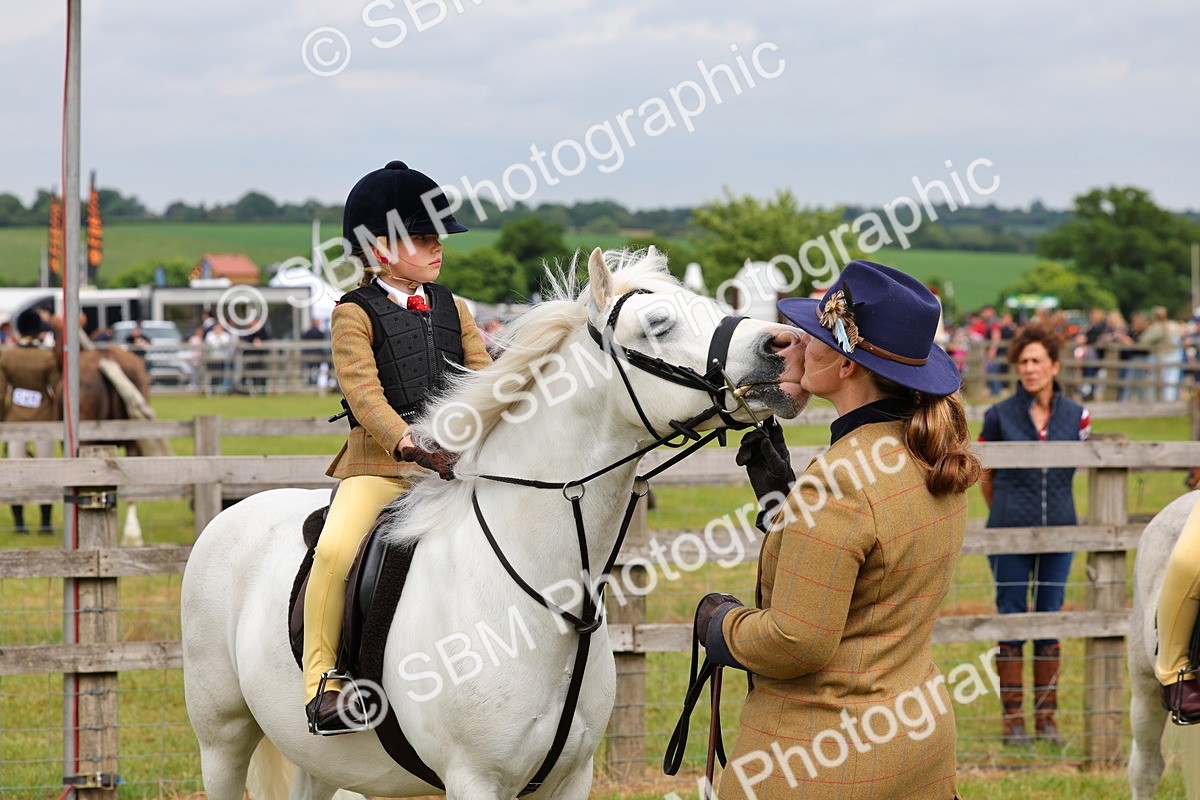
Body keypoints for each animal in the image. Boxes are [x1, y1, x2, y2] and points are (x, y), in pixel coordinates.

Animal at [180, 247, 803, 800]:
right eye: (658, 324)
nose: (780, 346)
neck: (542, 595)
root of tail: (234, 512)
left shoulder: (569, 780)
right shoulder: (474, 781)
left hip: (320, 759)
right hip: (222, 740)